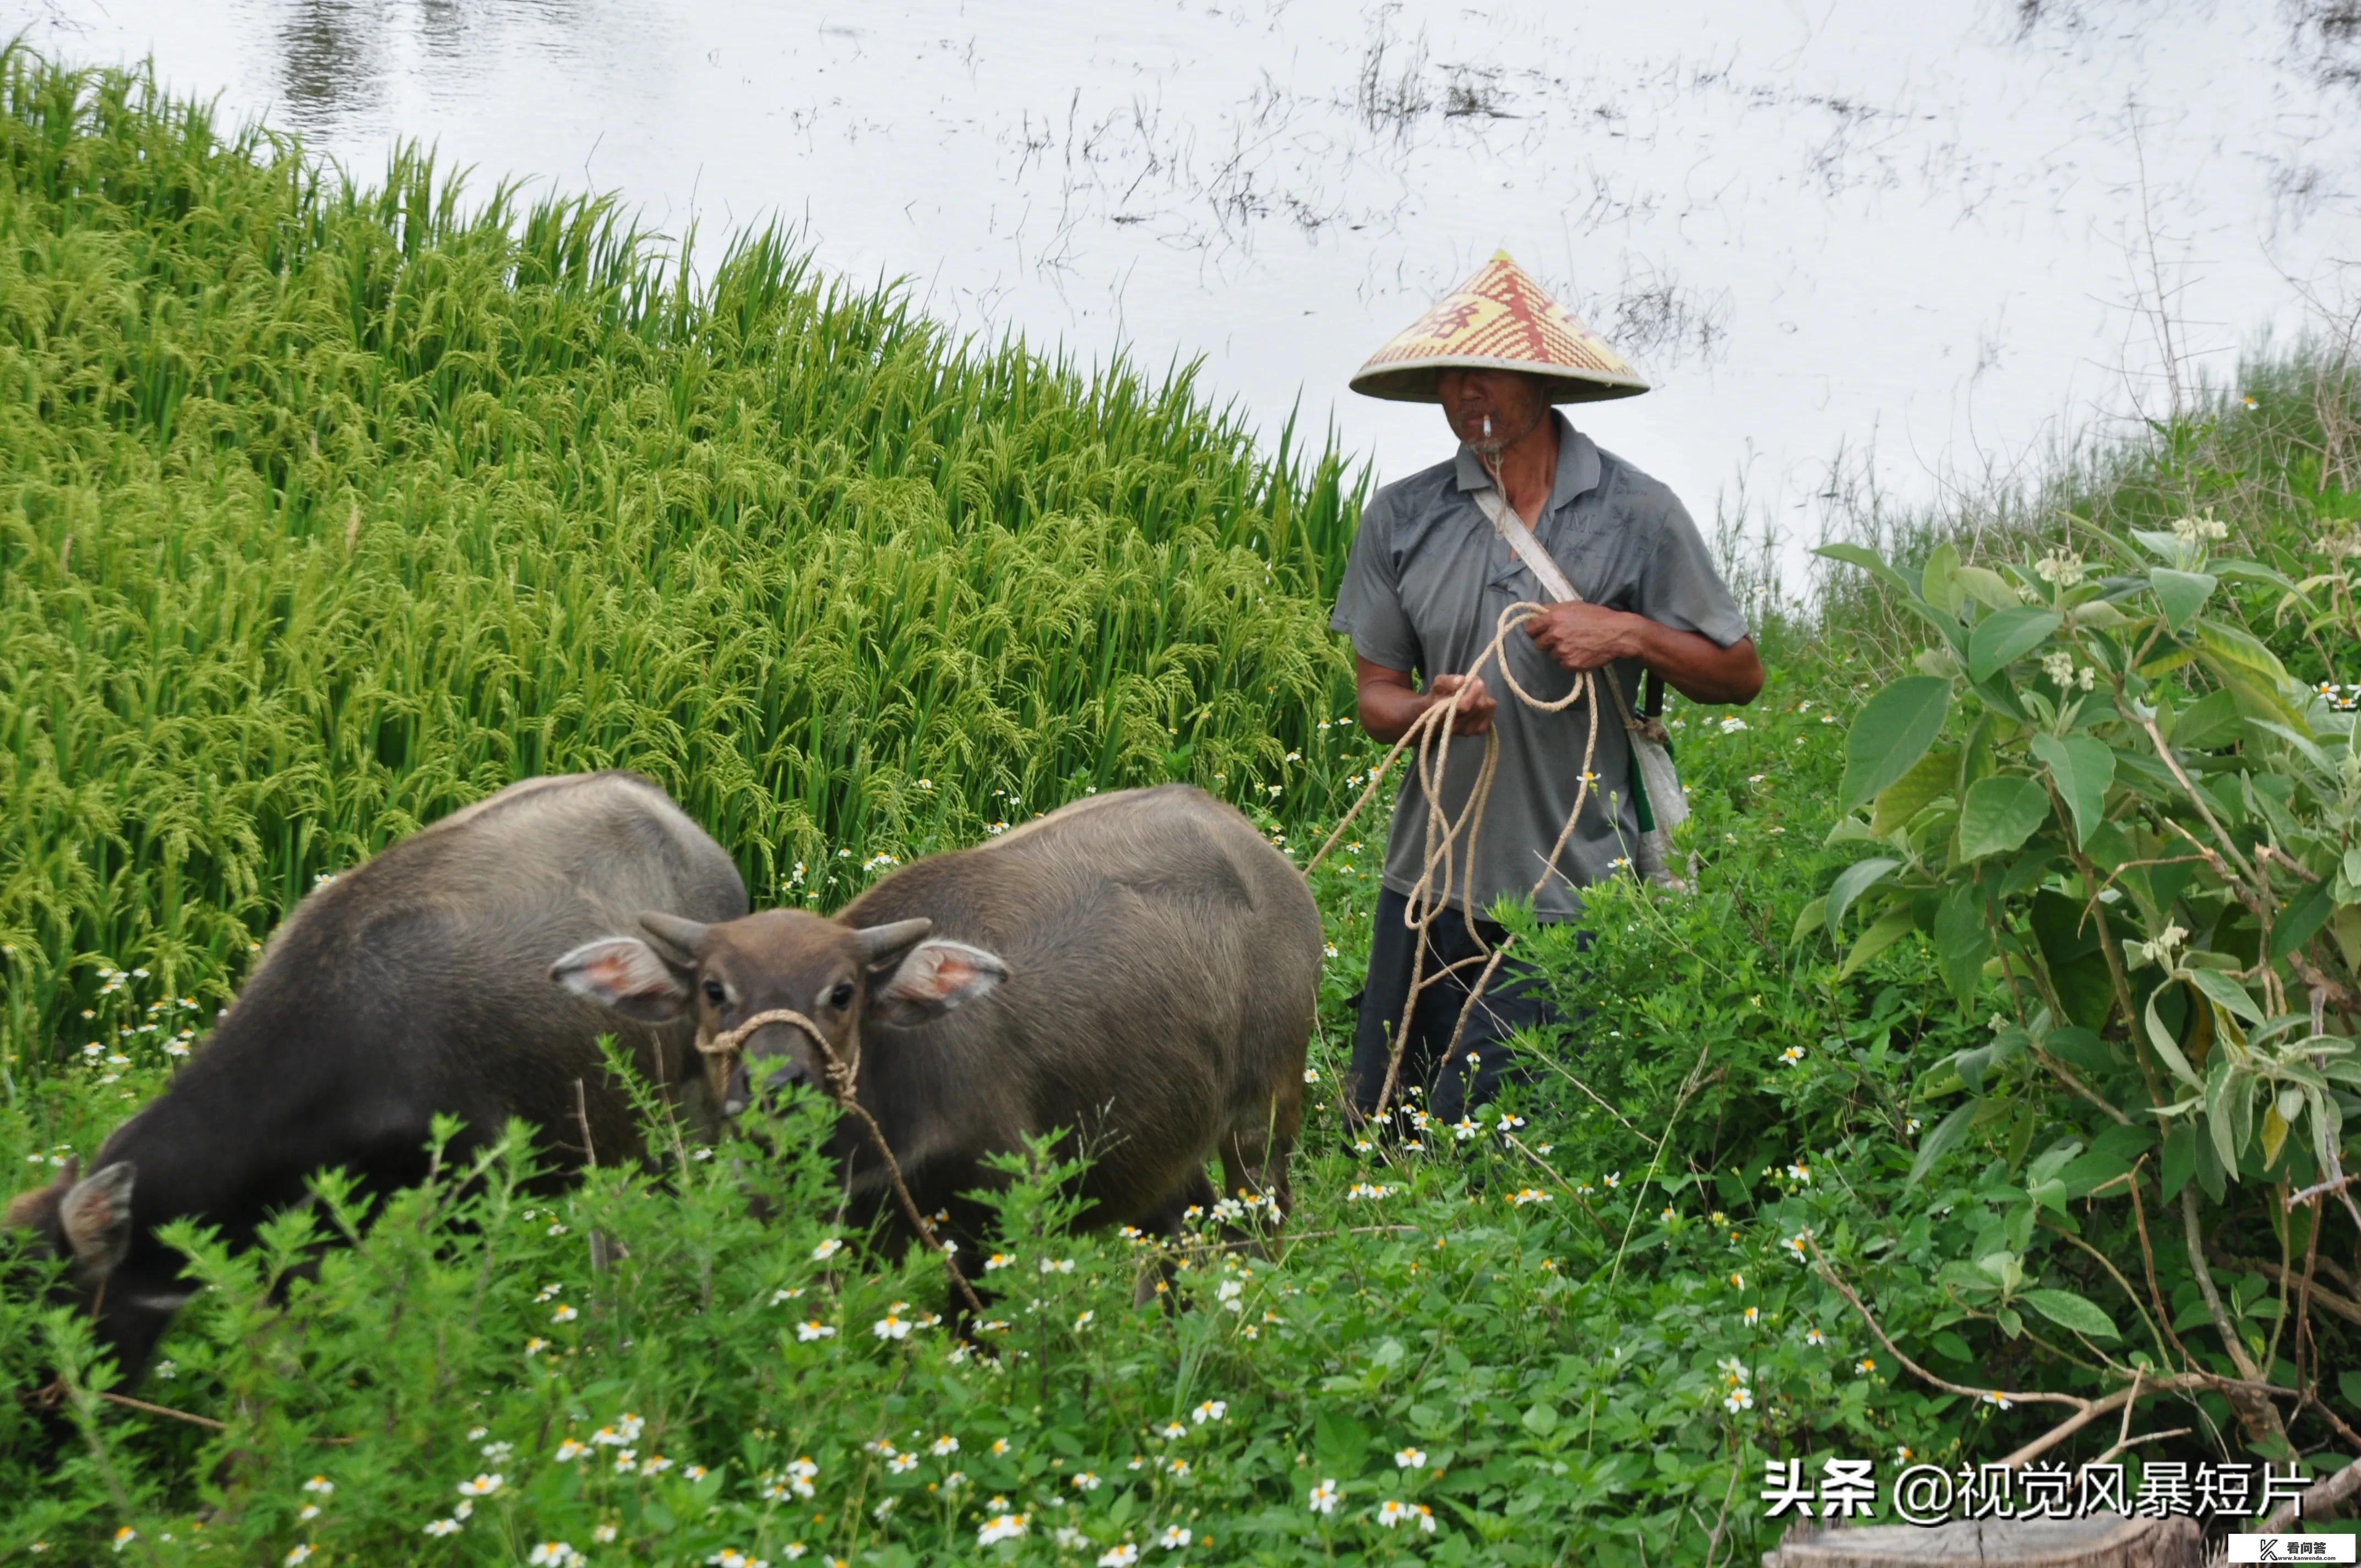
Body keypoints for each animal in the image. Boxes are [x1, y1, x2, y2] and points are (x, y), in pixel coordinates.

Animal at [557, 783, 1331, 1265]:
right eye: (715, 990)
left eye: (842, 992)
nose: (779, 1083)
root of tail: (1271, 865)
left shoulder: (1000, 1213)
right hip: (1155, 1134)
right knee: (1181, 1227)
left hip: (1264, 1118)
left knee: (1258, 1222)